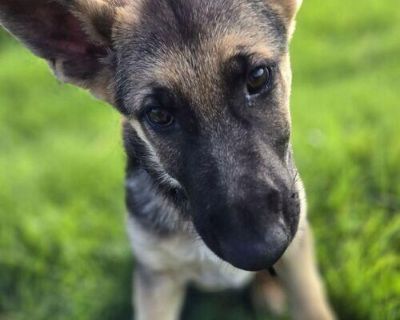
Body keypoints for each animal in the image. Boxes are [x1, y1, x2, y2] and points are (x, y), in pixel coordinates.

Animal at [0, 0, 334, 318]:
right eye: (158, 115)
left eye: (257, 77)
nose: (259, 251)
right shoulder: (157, 278)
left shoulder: (299, 250)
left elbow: (313, 307)